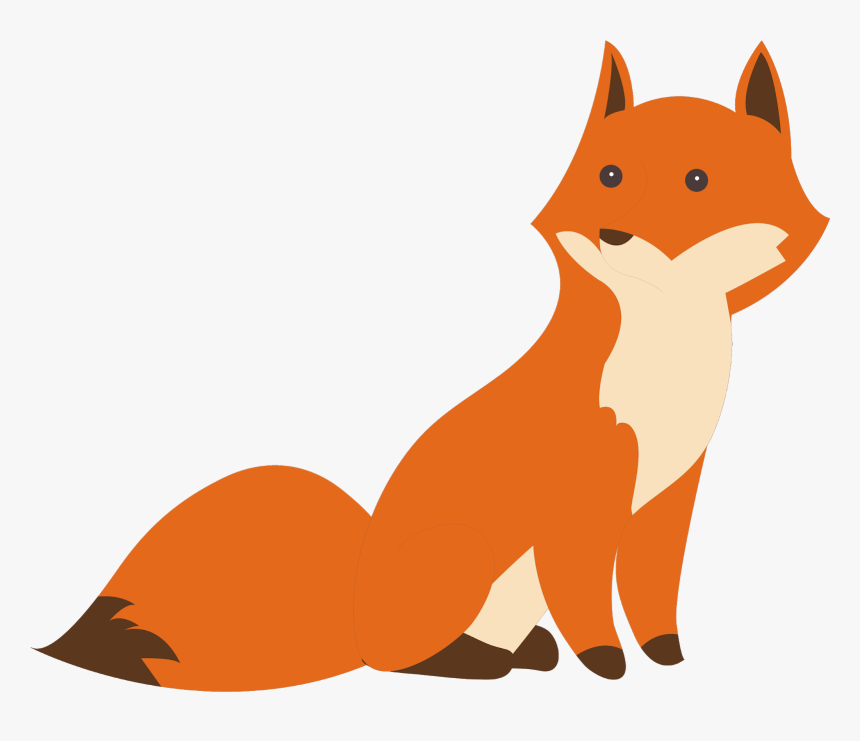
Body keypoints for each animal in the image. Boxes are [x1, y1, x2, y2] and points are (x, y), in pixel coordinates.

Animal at [36, 42, 827, 690]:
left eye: (698, 179)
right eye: (609, 174)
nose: (614, 233)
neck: (664, 358)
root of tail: (356, 612)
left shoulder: (671, 490)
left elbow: (653, 590)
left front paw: (666, 656)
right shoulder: (582, 496)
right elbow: (586, 597)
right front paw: (607, 663)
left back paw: (525, 652)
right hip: (461, 558)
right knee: (400, 661)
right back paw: (475, 662)